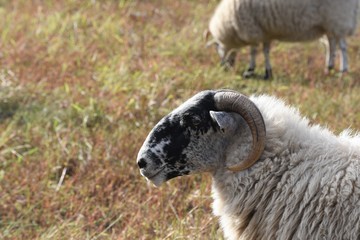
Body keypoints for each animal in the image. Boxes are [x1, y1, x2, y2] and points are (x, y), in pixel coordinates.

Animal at [207, 0, 358, 79]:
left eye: (217, 47)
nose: (223, 67)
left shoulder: (252, 29)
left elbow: (253, 50)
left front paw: (250, 70)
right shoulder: (265, 31)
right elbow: (266, 51)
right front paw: (267, 72)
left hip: (338, 18)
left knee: (342, 47)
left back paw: (343, 70)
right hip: (329, 24)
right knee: (331, 45)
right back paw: (329, 67)